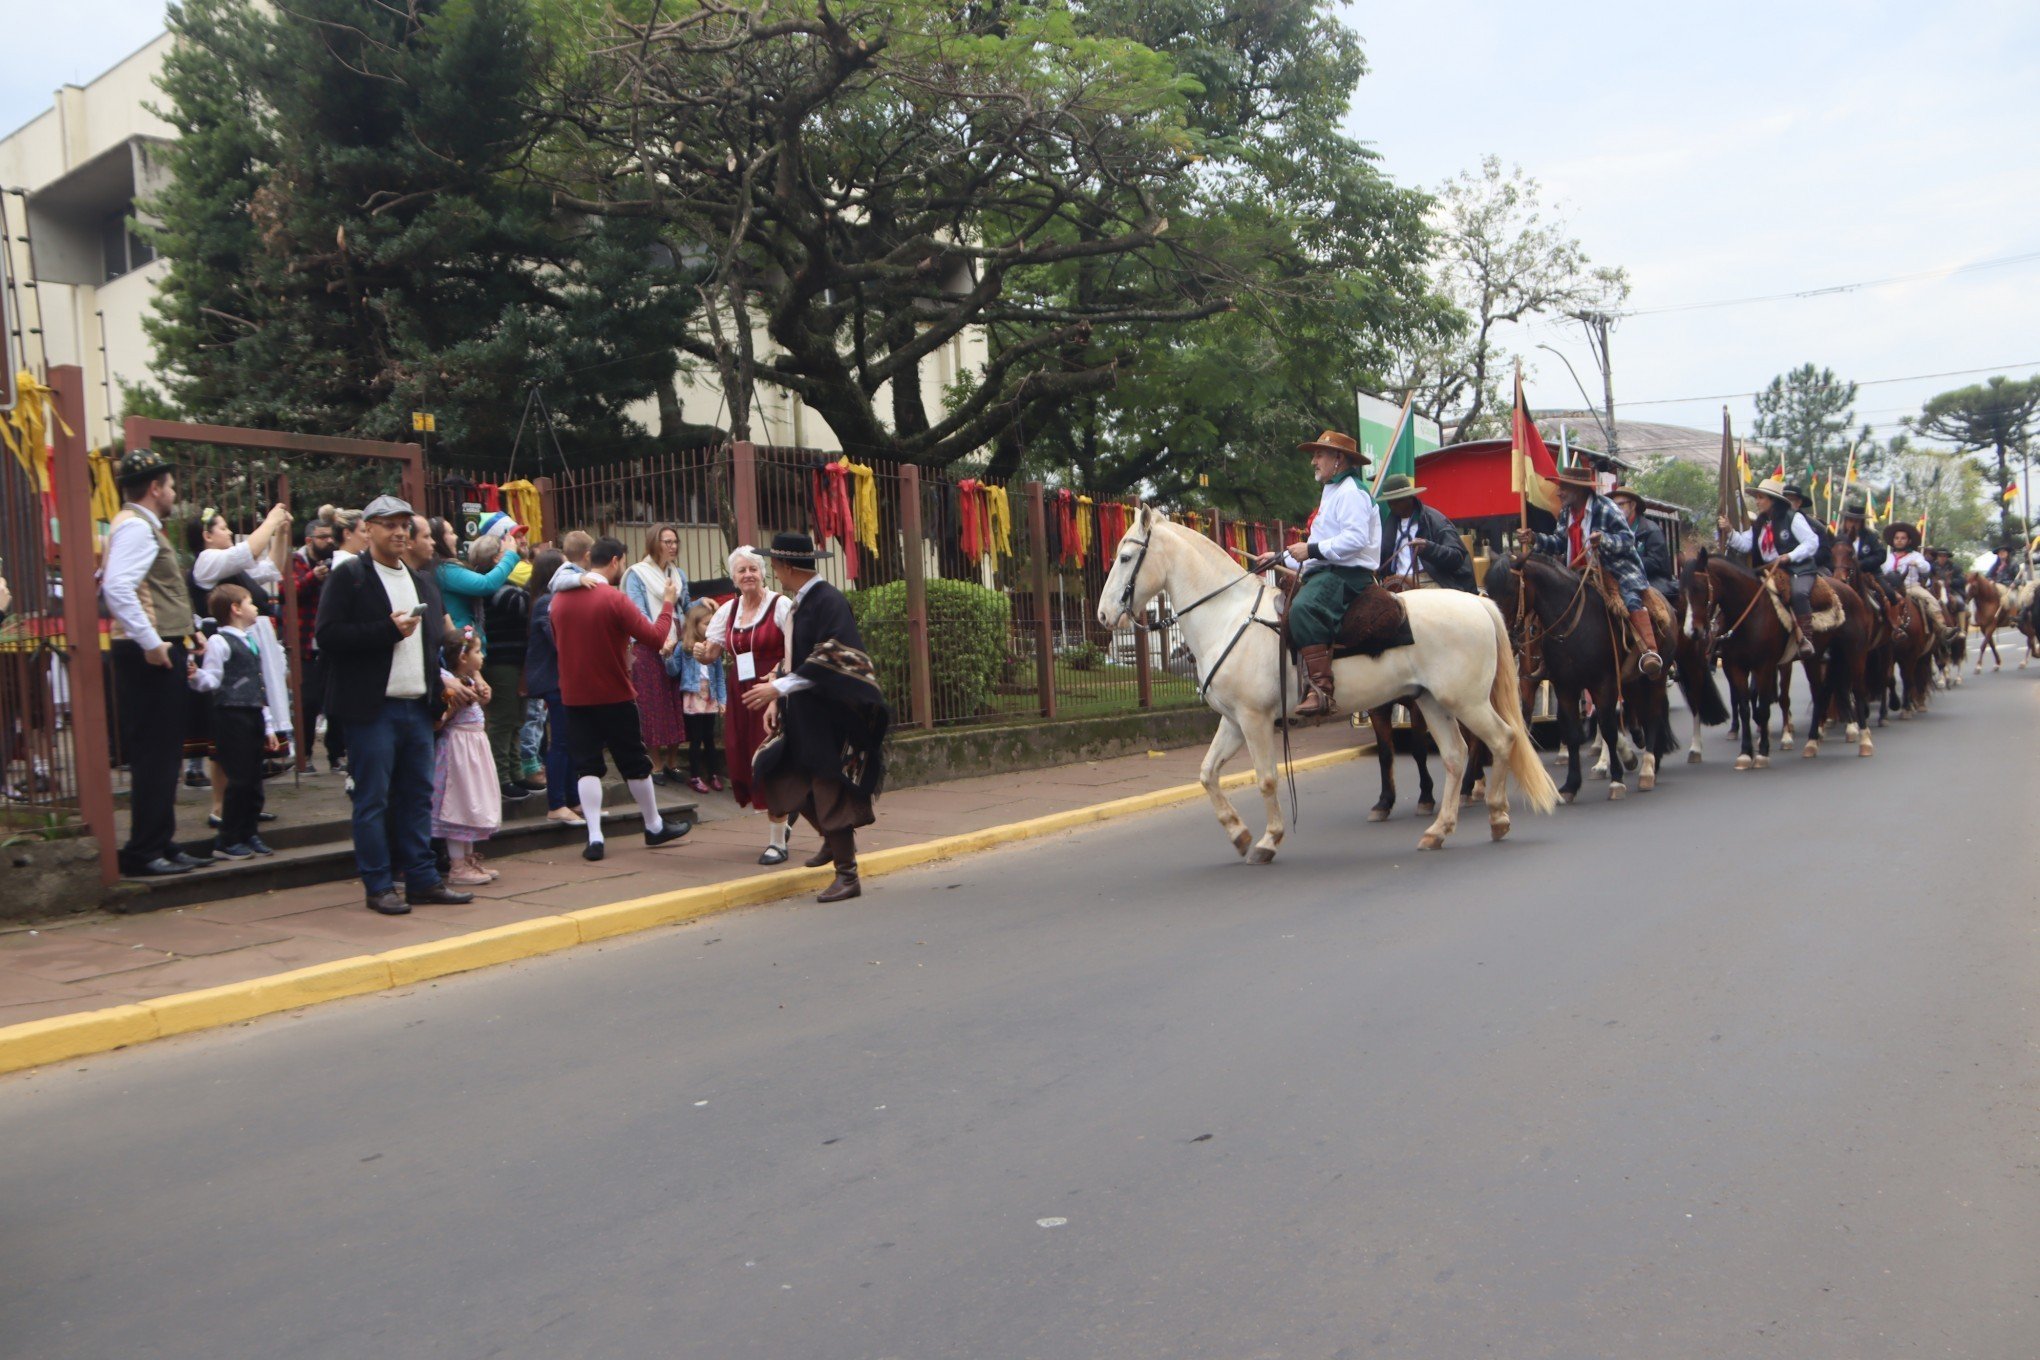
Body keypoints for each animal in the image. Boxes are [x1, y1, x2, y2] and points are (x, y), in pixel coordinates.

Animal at [1101, 509, 1558, 860]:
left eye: (1124, 556)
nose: (1105, 616)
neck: (1229, 617)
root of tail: (1479, 603)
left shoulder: (1254, 719)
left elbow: (1266, 778)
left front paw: (1268, 840)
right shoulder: (1233, 721)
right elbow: (1207, 774)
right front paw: (1239, 834)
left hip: (1467, 702)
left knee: (1502, 740)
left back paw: (1497, 815)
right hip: (1433, 702)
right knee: (1455, 756)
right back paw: (1438, 831)